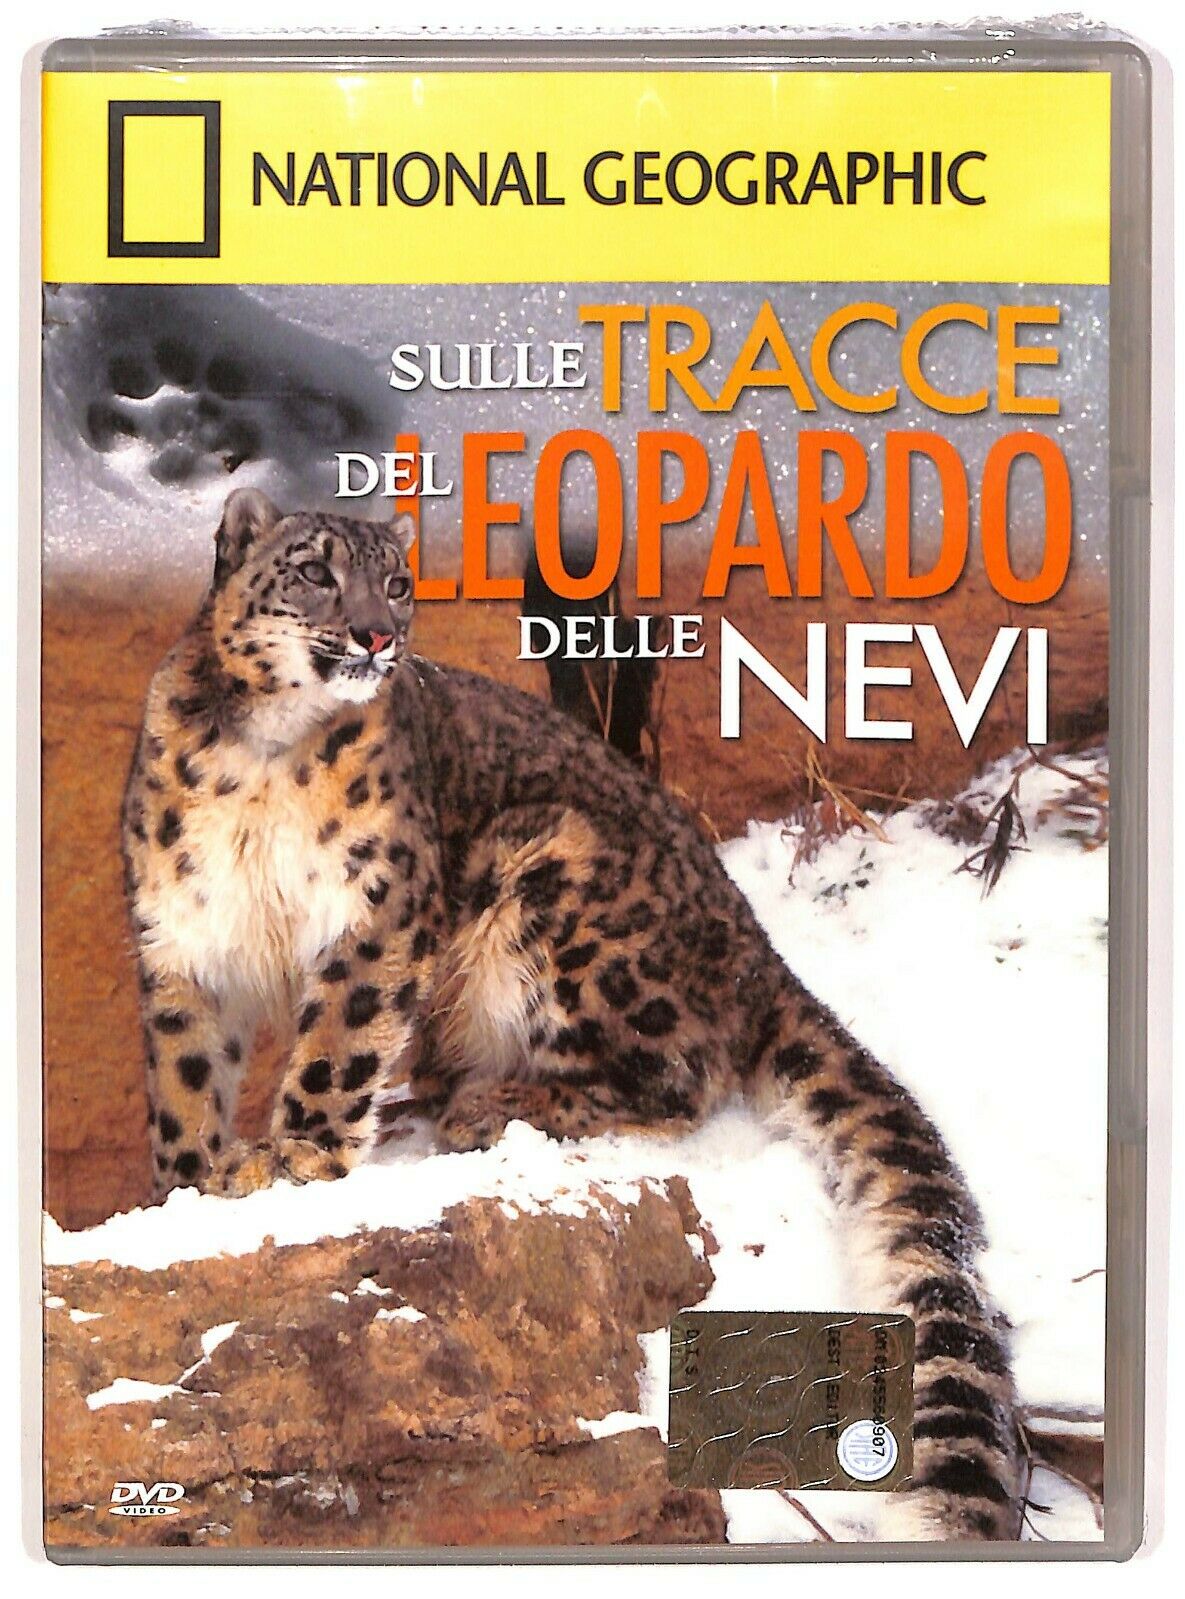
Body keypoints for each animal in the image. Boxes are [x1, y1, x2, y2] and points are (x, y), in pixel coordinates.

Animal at [121, 486, 1022, 1540]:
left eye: (397, 580)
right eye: (313, 571)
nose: (378, 633)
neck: (262, 758)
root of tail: (757, 948)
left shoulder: (378, 906)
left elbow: (337, 1043)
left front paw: (295, 1154)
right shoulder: (182, 934)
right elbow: (185, 1077)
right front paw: (187, 1186)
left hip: (559, 888)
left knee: (673, 1078)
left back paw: (493, 1106)